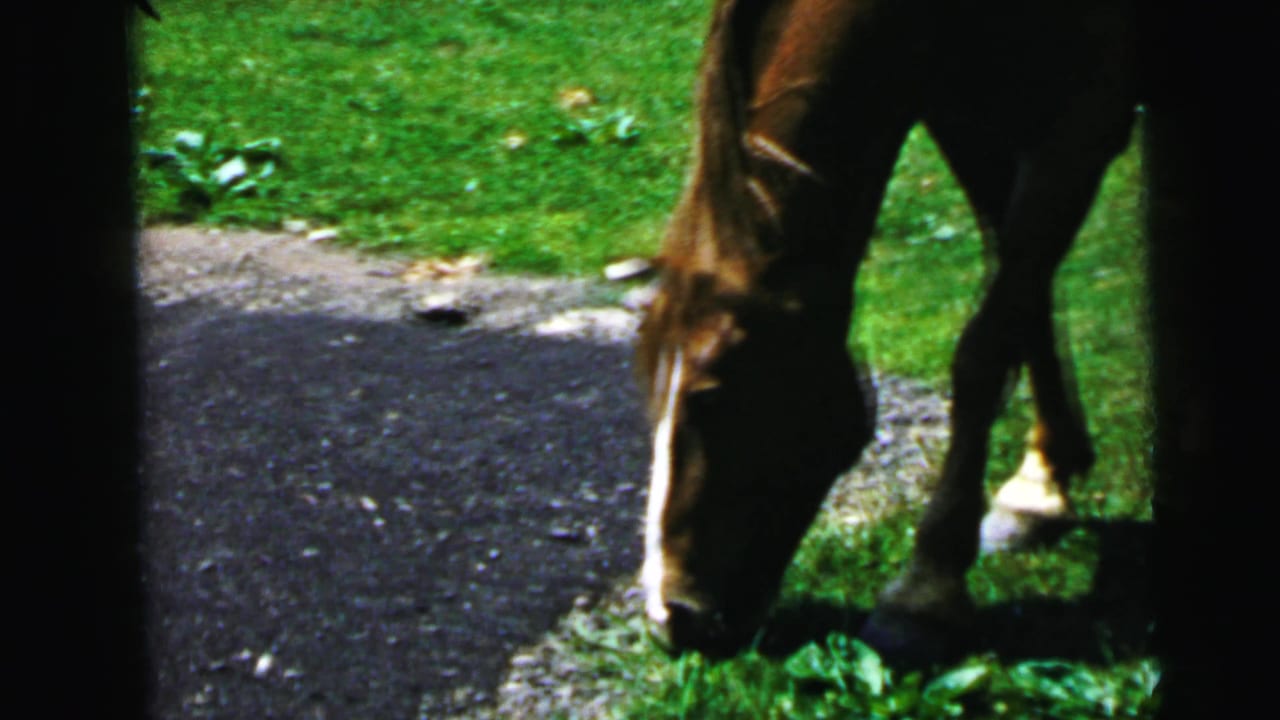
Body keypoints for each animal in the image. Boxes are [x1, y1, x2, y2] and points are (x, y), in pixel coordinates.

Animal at [635, 0, 1144, 658]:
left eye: (714, 396)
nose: (670, 616)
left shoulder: (1086, 118)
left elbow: (985, 346)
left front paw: (926, 589)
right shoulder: (968, 114)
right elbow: (1022, 299)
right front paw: (1043, 481)